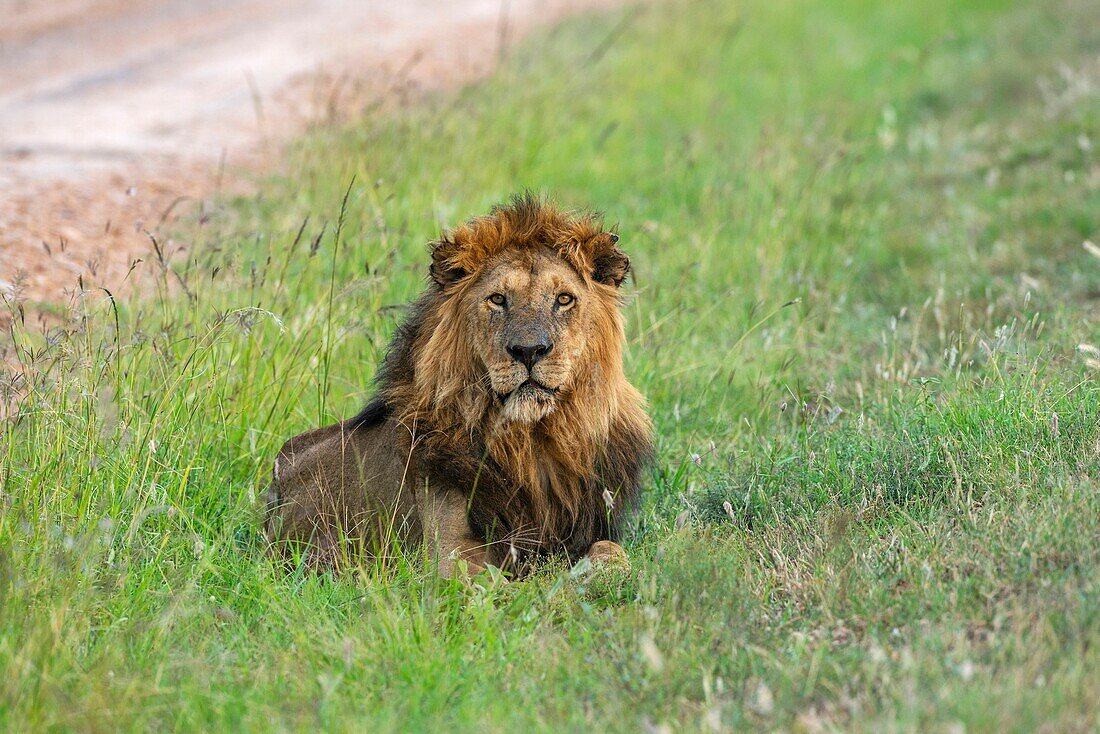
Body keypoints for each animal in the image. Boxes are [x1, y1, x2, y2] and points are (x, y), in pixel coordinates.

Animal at [265, 196, 651, 581]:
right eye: (497, 299)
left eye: (564, 299)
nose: (528, 351)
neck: (532, 443)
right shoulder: (446, 556)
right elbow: (504, 583)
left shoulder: (588, 529)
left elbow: (612, 553)